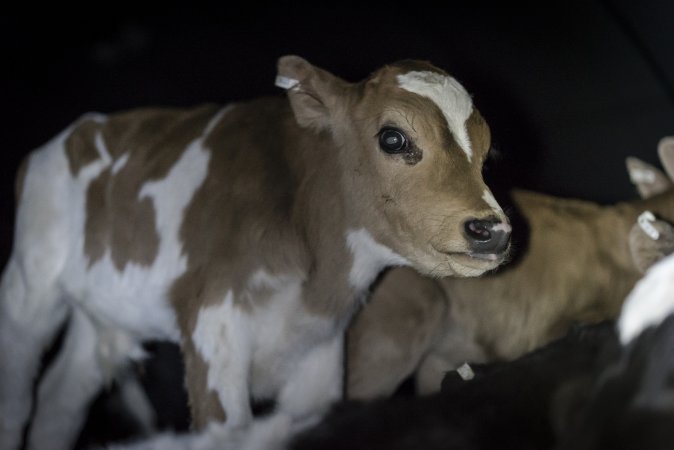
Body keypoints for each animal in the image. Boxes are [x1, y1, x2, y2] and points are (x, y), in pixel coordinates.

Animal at [0, 55, 506, 450]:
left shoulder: (320, 351)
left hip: (103, 314)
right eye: (393, 138)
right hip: (30, 281)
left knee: (59, 399)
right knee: (18, 392)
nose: (492, 230)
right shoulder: (212, 327)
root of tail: (81, 129)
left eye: (486, 153)